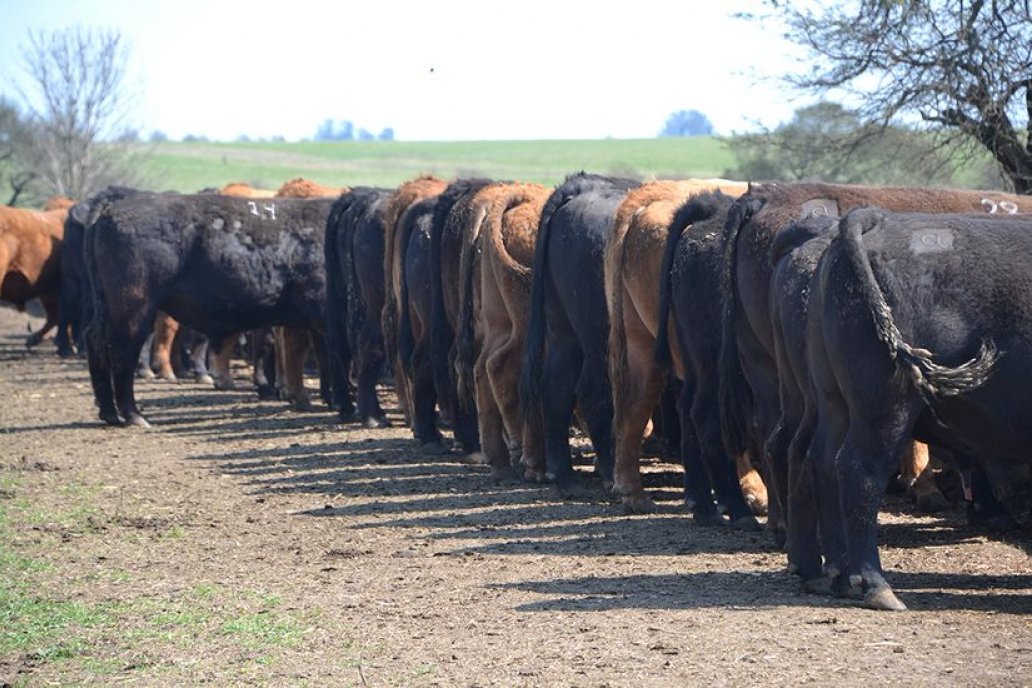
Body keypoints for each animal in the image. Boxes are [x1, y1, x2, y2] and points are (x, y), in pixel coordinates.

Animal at [85, 193, 334, 427]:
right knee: (122, 353)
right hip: (133, 310)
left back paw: (109, 412)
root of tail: (111, 208)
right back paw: (134, 415)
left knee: (97, 344)